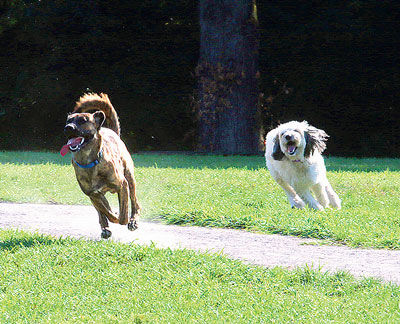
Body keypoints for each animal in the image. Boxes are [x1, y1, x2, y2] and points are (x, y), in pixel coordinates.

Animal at [60, 92, 140, 239]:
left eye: (83, 120)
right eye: (68, 121)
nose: (68, 128)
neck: (89, 161)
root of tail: (112, 131)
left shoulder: (122, 184)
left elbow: (122, 214)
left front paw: (122, 217)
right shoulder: (93, 194)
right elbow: (105, 210)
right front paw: (112, 216)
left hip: (130, 178)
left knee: (135, 203)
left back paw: (133, 221)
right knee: (102, 211)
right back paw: (105, 228)